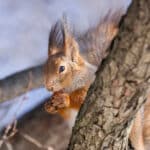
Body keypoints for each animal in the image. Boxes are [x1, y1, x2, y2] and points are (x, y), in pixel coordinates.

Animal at [43, 14, 150, 149]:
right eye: (44, 68)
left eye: (62, 68)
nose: (48, 86)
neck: (70, 85)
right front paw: (49, 105)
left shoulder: (91, 84)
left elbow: (81, 97)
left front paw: (65, 99)